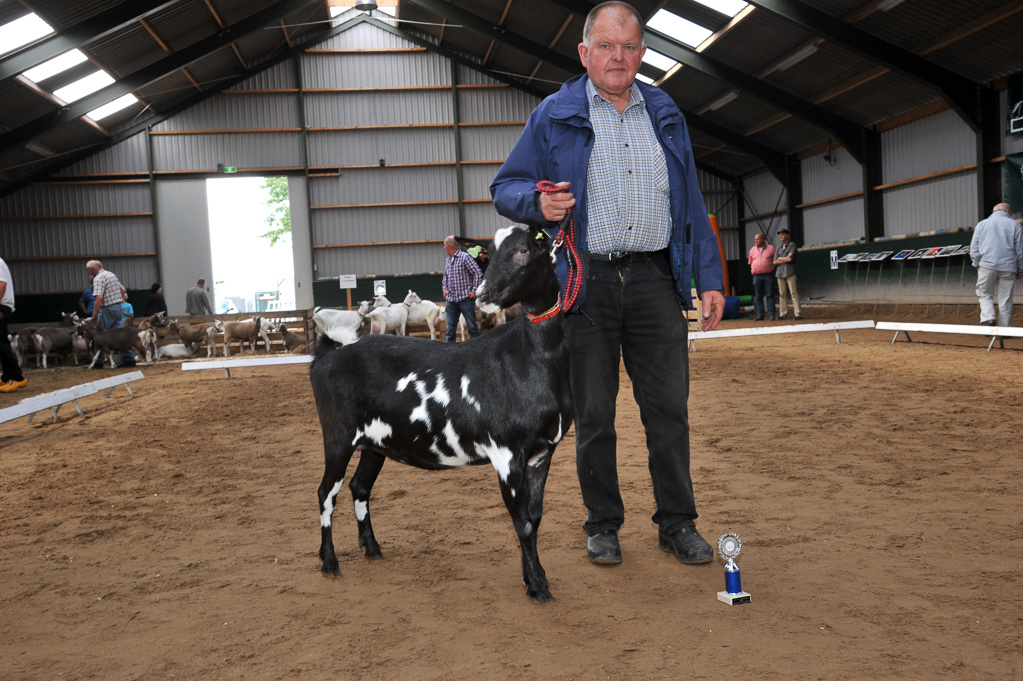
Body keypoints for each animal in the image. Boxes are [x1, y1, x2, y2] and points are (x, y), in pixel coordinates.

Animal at [306, 224, 572, 601]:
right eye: (487, 253)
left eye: (524, 249)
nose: (483, 294)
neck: (528, 359)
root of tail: (329, 354)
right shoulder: (505, 453)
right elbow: (521, 523)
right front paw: (537, 586)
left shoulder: (541, 452)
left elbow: (534, 519)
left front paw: (532, 578)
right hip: (338, 437)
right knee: (326, 493)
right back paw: (329, 562)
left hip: (374, 443)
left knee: (360, 486)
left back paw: (371, 547)